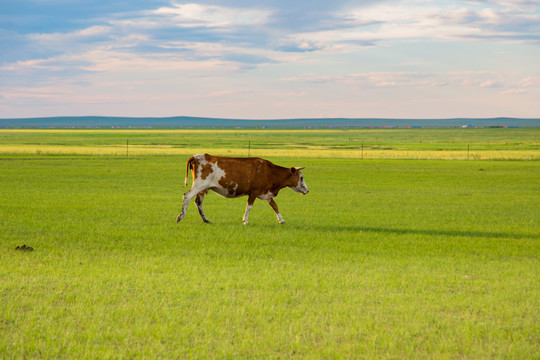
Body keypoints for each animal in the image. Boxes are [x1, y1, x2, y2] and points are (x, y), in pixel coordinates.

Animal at [177, 153, 308, 225]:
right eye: (301, 177)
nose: (307, 190)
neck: (269, 172)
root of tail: (198, 156)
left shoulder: (266, 192)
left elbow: (275, 206)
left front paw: (281, 220)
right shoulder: (254, 191)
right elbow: (249, 207)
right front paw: (245, 220)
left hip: (202, 188)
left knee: (199, 202)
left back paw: (206, 220)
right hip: (199, 184)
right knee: (187, 196)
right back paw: (180, 216)